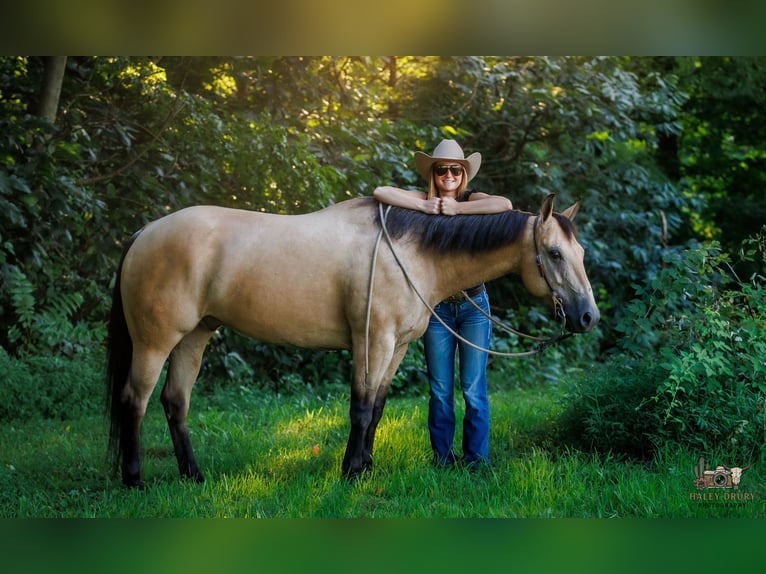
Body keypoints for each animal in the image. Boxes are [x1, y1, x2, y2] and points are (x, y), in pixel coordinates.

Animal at [106, 193, 599, 487]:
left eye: (580, 252)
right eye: (554, 253)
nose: (588, 316)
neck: (412, 254)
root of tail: (144, 233)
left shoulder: (397, 347)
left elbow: (377, 408)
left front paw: (367, 465)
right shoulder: (372, 342)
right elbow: (360, 408)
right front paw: (350, 472)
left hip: (195, 336)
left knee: (175, 402)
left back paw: (193, 475)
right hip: (155, 343)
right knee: (134, 401)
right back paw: (133, 479)